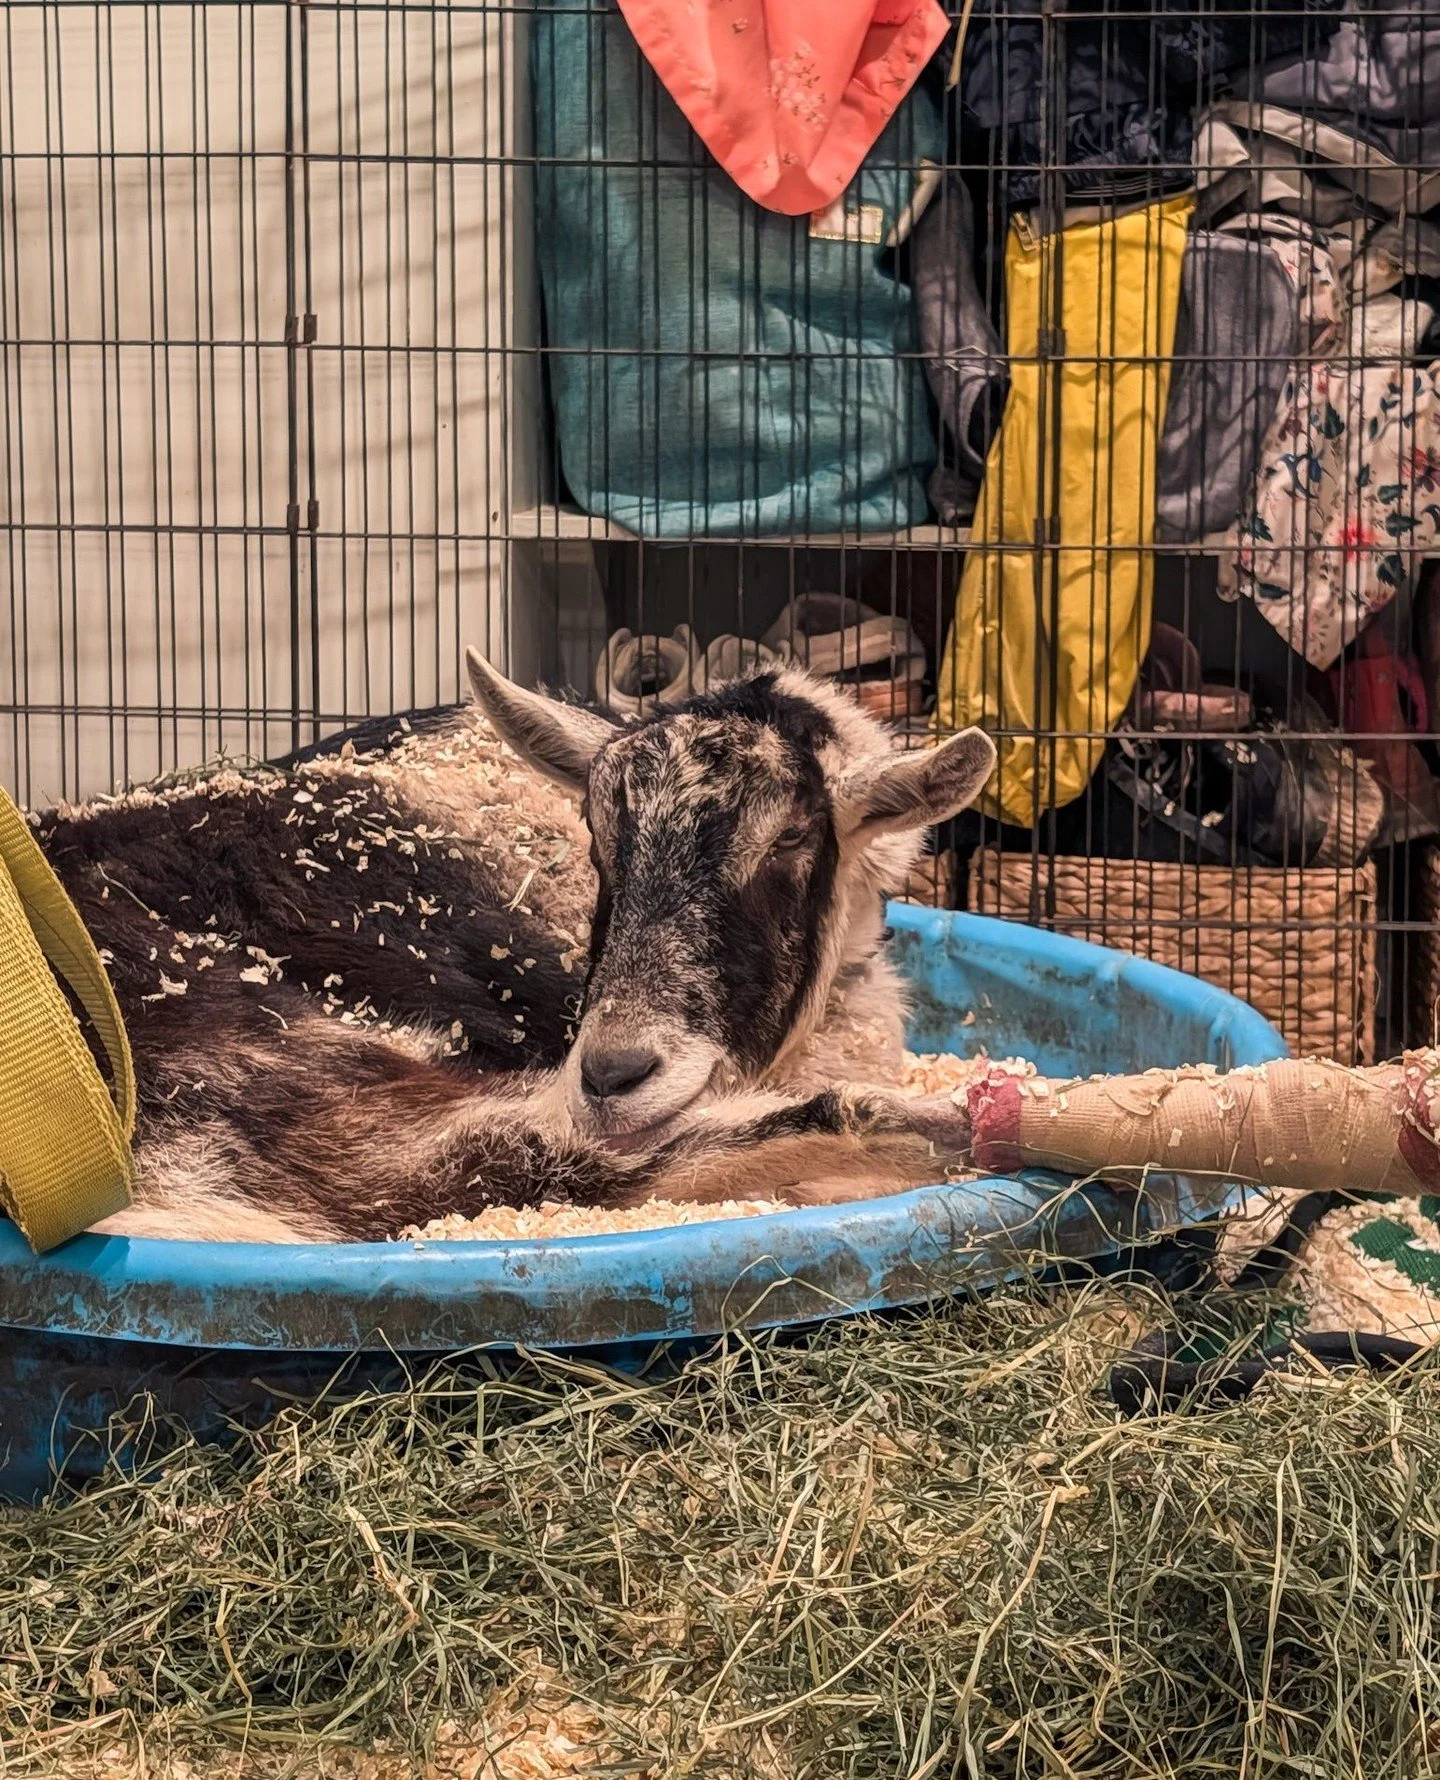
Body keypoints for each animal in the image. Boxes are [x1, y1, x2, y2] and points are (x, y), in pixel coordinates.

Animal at [34, 656, 996, 1242]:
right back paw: (955, 1126)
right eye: (600, 834)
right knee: (511, 1161)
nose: (613, 1072)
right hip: (272, 1050)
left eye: (792, 838)